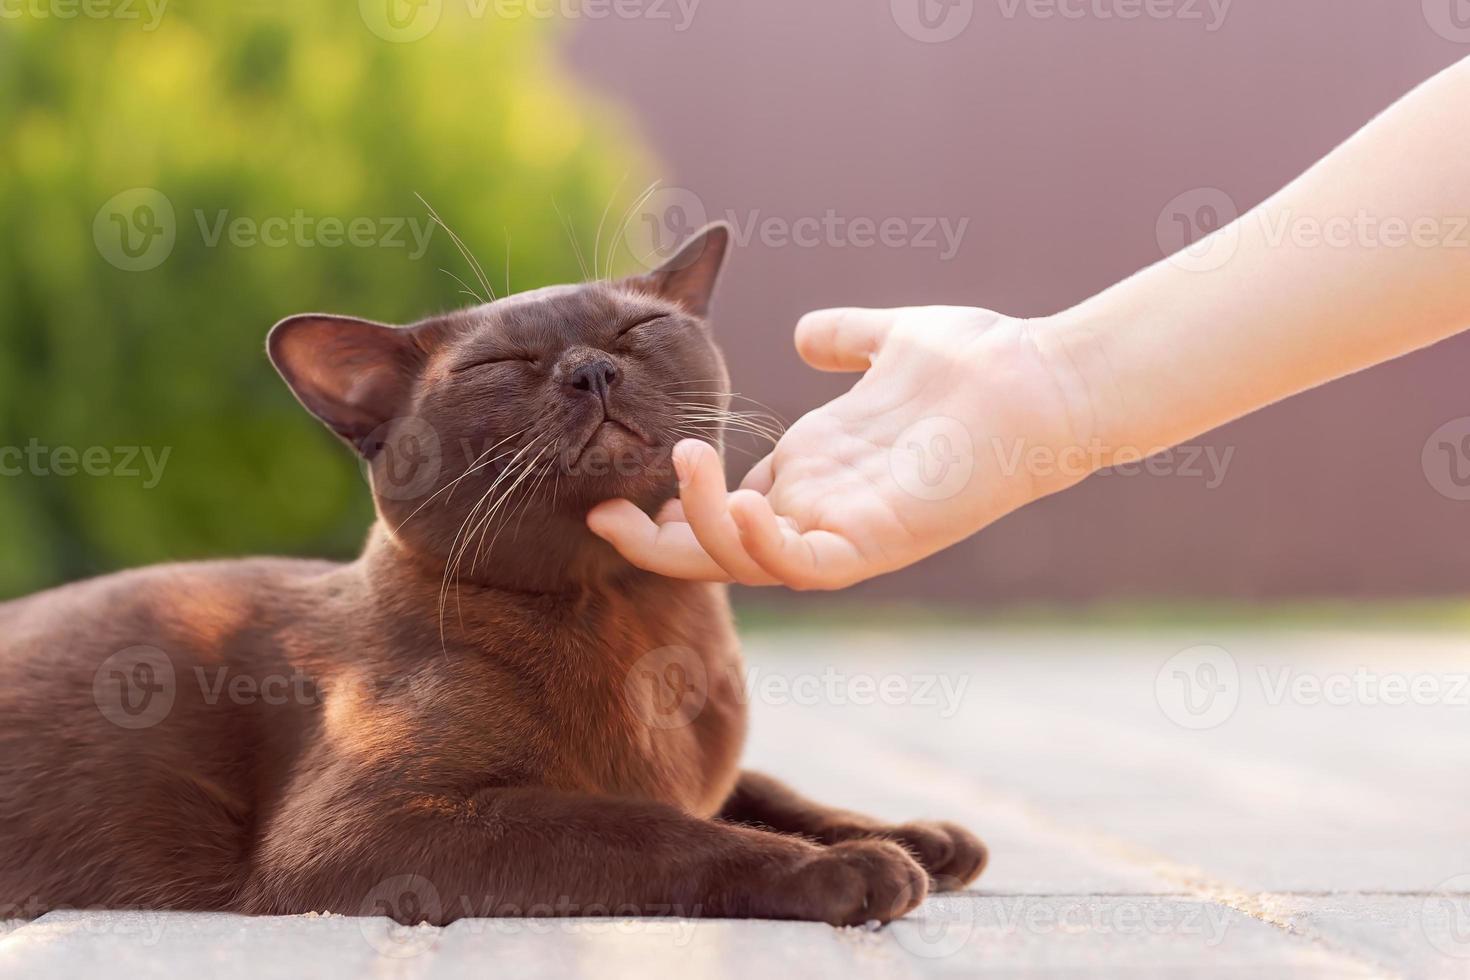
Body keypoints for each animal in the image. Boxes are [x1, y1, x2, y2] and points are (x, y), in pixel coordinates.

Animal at [2, 226, 987, 922]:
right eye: (500, 365)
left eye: (638, 328)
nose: (591, 370)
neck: (635, 617)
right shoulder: (374, 828)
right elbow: (652, 827)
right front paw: (857, 871)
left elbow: (766, 791)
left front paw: (920, 839)